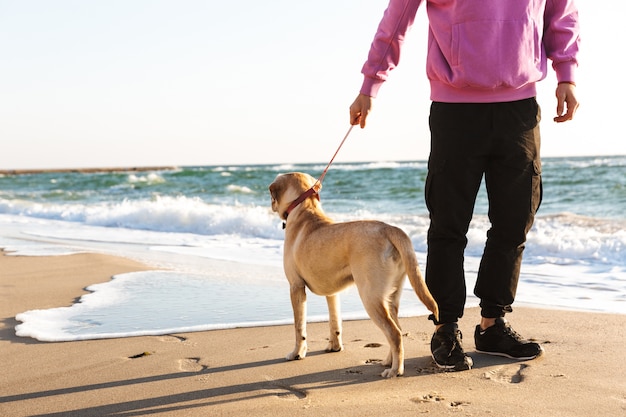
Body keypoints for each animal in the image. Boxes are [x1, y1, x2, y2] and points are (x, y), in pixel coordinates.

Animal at [268, 172, 438, 376]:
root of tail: (389, 228)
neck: (305, 209)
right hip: (391, 297)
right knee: (396, 328)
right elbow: (335, 322)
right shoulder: (332, 293)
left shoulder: (296, 286)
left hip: (370, 296)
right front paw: (334, 346)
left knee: (394, 333)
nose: (270, 204)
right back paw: (388, 361)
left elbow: (299, 327)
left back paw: (395, 370)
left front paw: (297, 353)